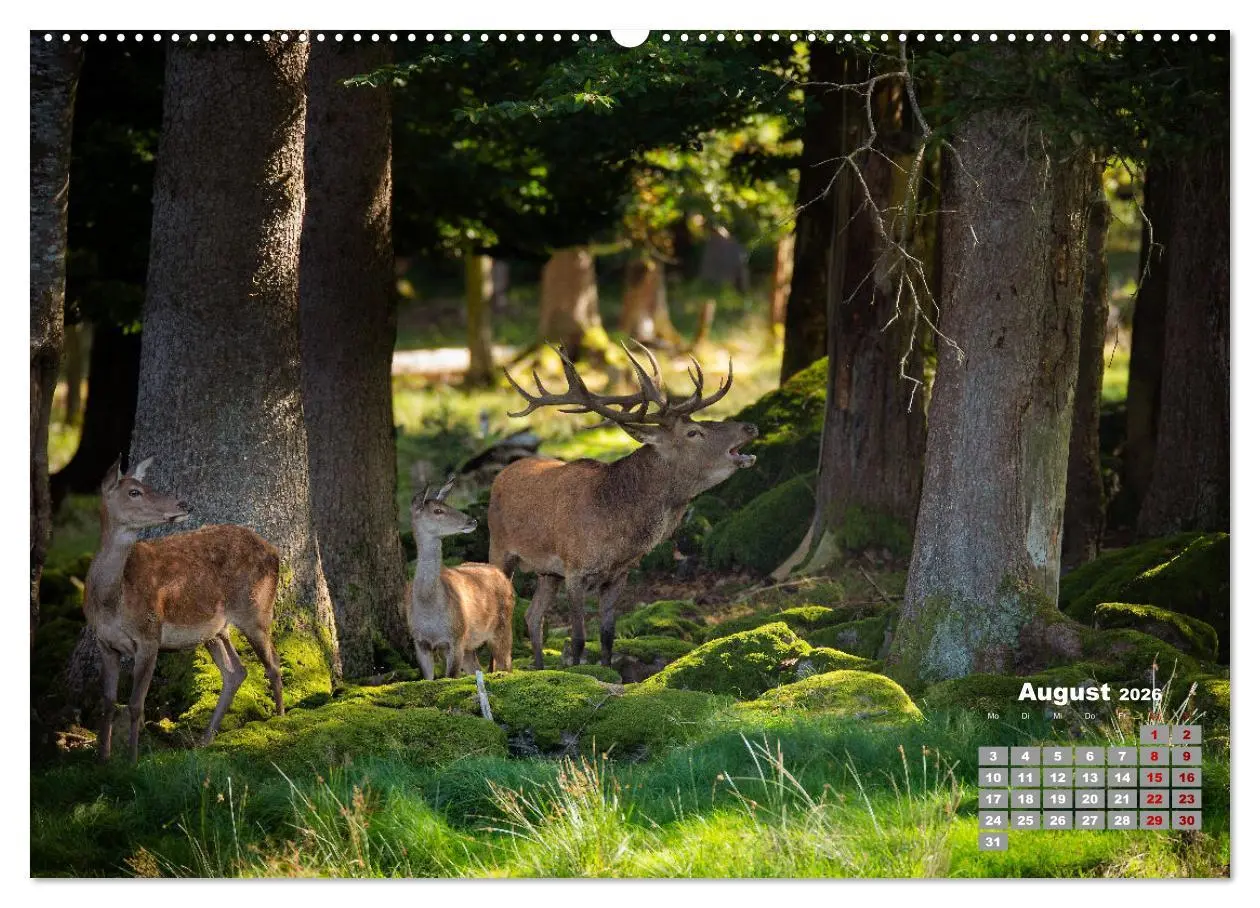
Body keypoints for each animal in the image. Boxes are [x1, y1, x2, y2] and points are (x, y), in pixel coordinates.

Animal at [83, 457, 285, 763]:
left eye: (147, 486)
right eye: (134, 491)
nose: (184, 504)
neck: (111, 601)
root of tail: (274, 551)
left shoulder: (149, 635)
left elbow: (135, 704)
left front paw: (131, 759)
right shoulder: (105, 643)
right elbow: (107, 702)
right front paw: (103, 759)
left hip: (256, 608)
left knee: (273, 663)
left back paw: (282, 720)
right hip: (216, 630)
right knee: (236, 671)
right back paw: (205, 739)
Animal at [406, 475, 515, 680]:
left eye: (447, 505)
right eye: (438, 510)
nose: (472, 520)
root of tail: (502, 575)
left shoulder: (456, 637)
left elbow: (451, 676)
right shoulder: (419, 642)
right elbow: (428, 678)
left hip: (502, 626)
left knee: (506, 664)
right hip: (470, 645)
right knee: (477, 668)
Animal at [490, 342, 758, 669]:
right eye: (694, 433)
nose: (750, 427)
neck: (617, 533)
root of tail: (502, 473)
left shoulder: (618, 575)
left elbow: (607, 637)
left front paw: (607, 670)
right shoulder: (574, 569)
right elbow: (579, 639)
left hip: (546, 573)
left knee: (533, 615)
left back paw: (539, 668)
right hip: (499, 548)